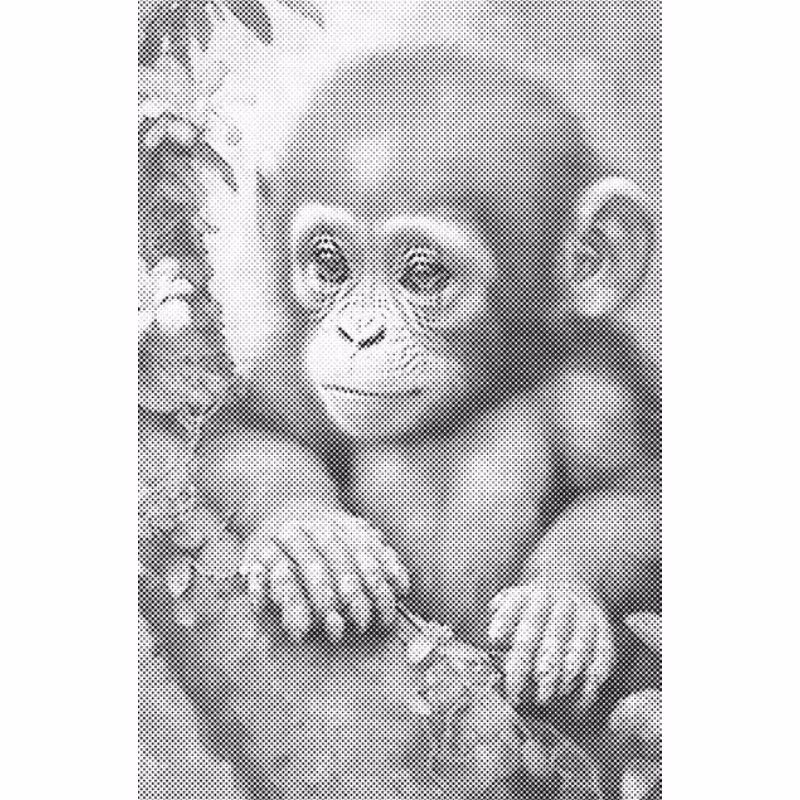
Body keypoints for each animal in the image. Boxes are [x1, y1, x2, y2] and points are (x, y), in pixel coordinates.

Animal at [192, 41, 661, 716]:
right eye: (329, 263)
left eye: (422, 275)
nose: (358, 332)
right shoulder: (290, 366)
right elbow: (248, 432)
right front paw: (314, 536)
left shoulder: (601, 391)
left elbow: (634, 494)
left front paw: (559, 598)